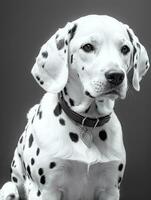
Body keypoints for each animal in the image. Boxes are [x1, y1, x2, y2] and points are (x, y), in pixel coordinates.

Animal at [0, 14, 149, 199]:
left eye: (125, 49)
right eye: (88, 47)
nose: (116, 76)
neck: (87, 122)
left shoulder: (110, 189)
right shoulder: (45, 191)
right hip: (9, 188)